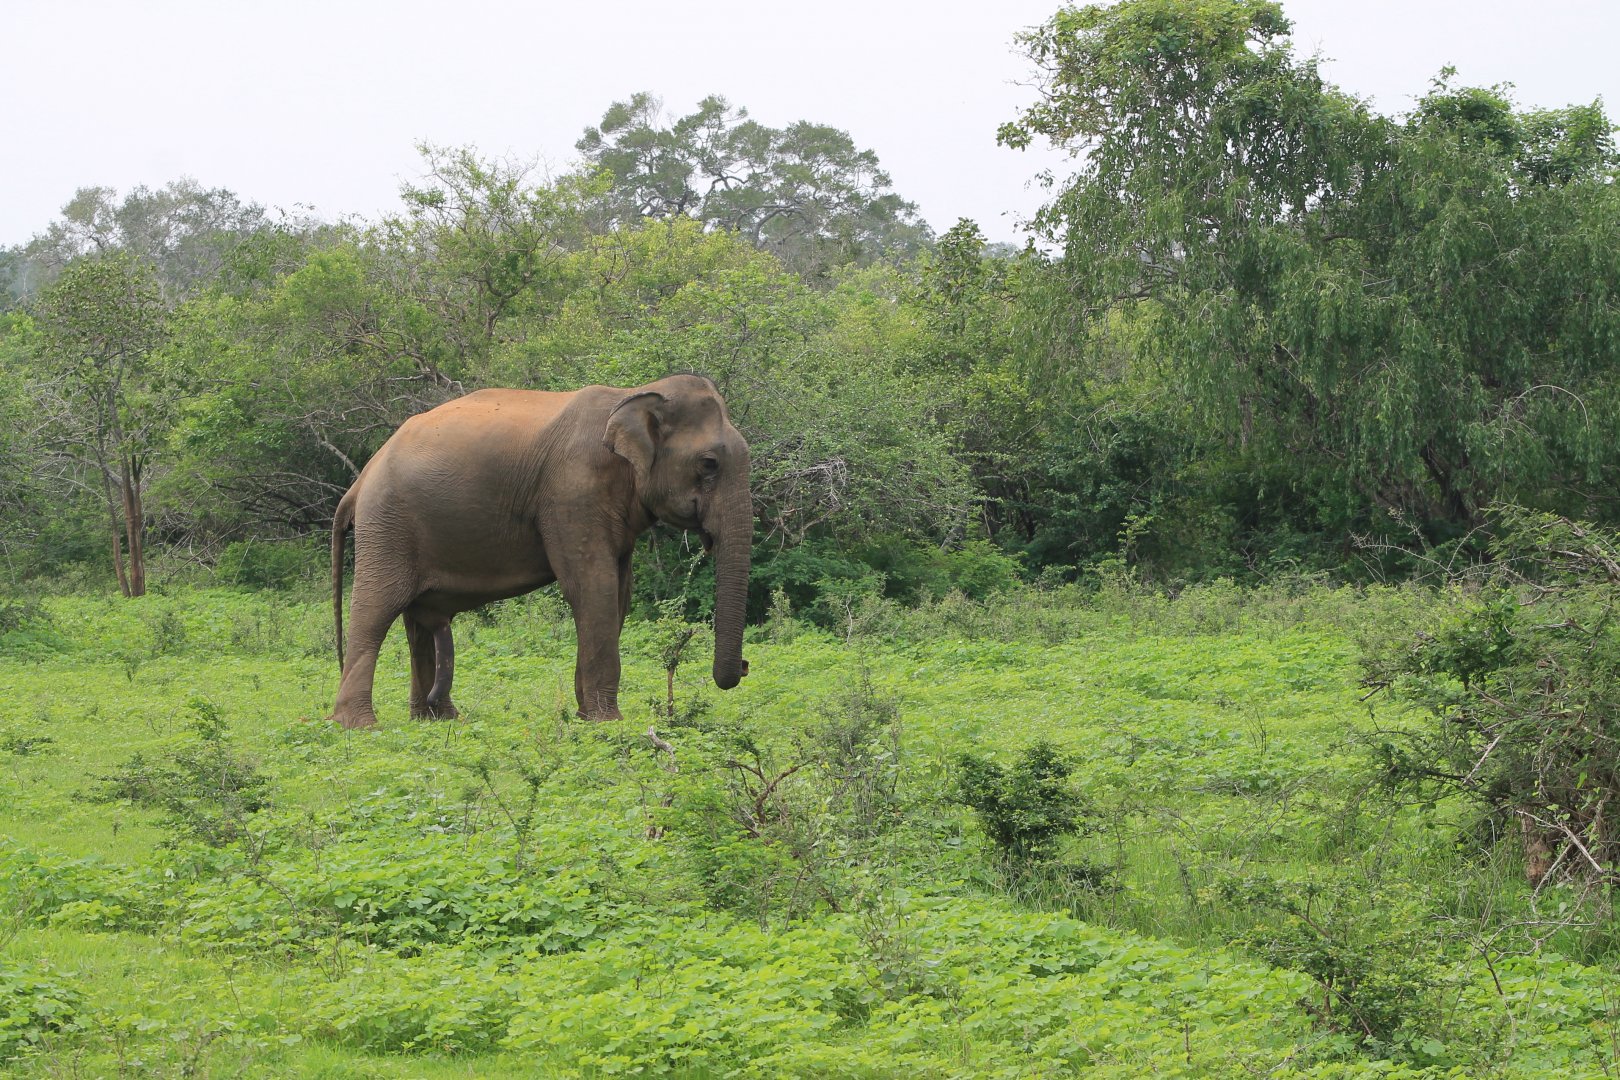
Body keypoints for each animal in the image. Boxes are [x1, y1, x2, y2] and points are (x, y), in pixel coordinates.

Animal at [326, 374, 751, 728]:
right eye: (709, 464)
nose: (745, 667)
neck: (633, 394)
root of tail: (362, 478)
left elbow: (619, 592)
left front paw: (585, 716)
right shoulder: (572, 492)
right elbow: (592, 586)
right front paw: (607, 722)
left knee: (416, 620)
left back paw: (436, 719)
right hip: (386, 525)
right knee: (376, 609)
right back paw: (361, 726)